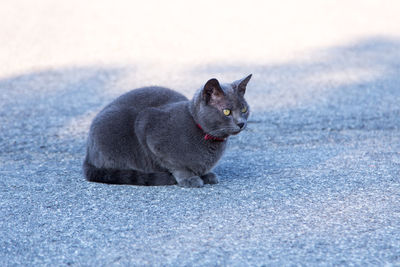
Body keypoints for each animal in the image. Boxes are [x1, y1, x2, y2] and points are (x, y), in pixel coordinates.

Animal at [83, 75, 252, 188]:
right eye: (226, 112)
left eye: (244, 109)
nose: (241, 123)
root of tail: (88, 154)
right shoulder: (147, 126)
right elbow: (176, 166)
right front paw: (189, 179)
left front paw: (205, 174)